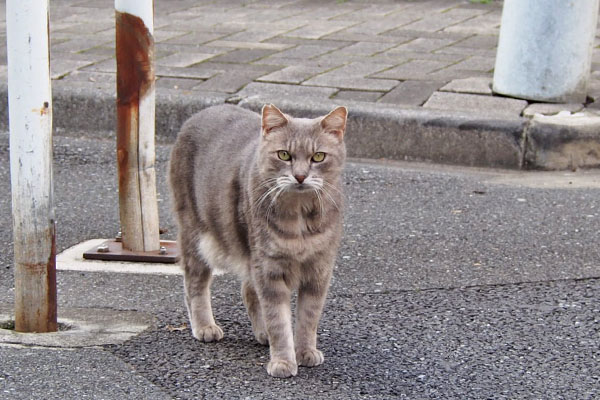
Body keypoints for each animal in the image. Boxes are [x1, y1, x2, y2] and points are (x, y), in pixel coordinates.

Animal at [168, 103, 346, 378]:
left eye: (318, 157)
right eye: (284, 155)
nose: (300, 176)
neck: (299, 218)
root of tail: (203, 111)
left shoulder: (319, 270)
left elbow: (308, 318)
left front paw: (305, 351)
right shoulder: (269, 270)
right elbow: (278, 320)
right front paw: (283, 361)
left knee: (248, 291)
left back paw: (262, 334)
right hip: (197, 236)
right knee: (195, 285)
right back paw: (205, 326)